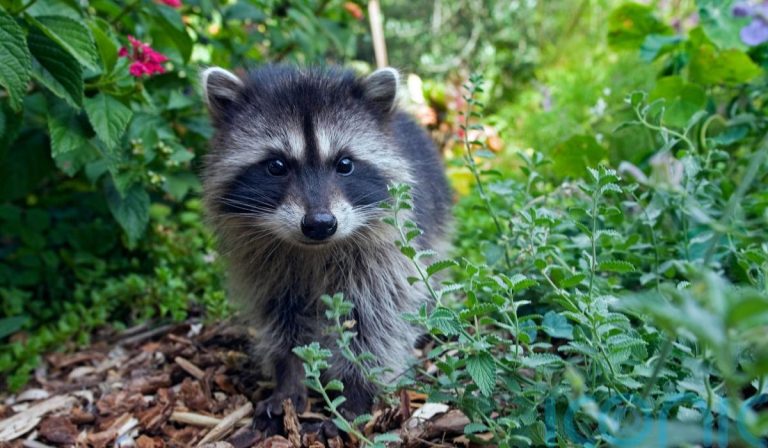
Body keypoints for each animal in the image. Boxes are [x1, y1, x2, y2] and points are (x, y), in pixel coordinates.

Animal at [200, 65, 452, 428]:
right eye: (276, 166)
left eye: (344, 164)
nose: (320, 224)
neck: (313, 251)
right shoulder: (264, 267)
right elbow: (282, 321)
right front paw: (288, 379)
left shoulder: (383, 258)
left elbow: (376, 320)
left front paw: (357, 391)